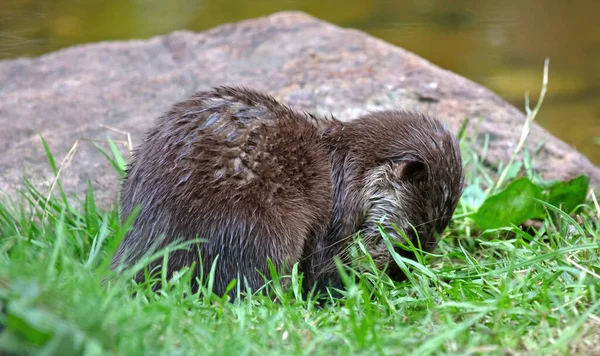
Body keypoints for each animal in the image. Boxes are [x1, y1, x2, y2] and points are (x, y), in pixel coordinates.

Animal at [113, 86, 468, 294]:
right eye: (408, 237)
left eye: (430, 242)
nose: (401, 275)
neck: (348, 169)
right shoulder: (337, 218)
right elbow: (326, 270)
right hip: (259, 227)